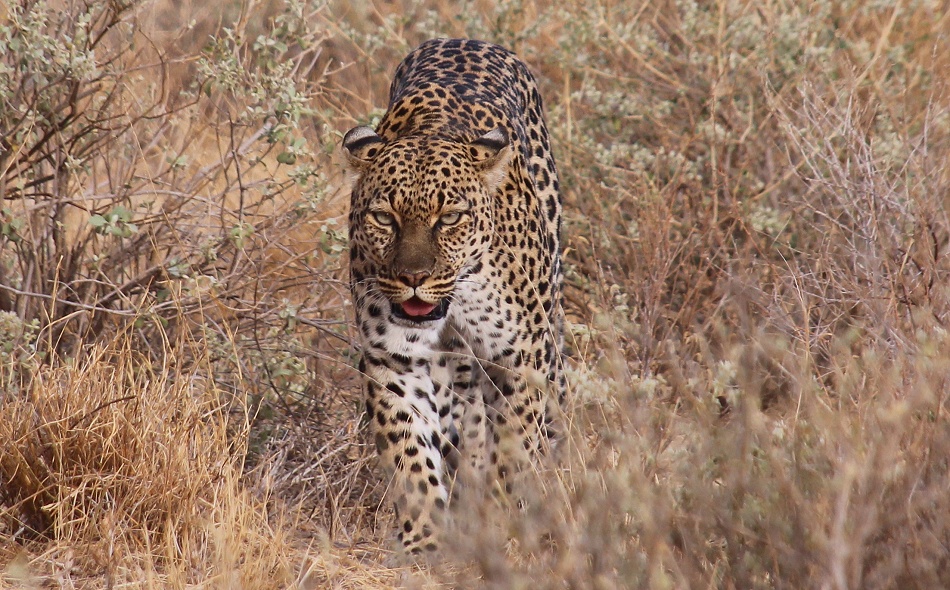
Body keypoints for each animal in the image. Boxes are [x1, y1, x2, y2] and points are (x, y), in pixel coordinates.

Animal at [342, 38, 563, 556]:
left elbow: (514, 447)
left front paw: (502, 526)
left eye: (450, 218)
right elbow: (408, 453)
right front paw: (424, 537)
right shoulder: (393, 359)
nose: (414, 277)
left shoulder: (522, 356)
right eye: (384, 218)